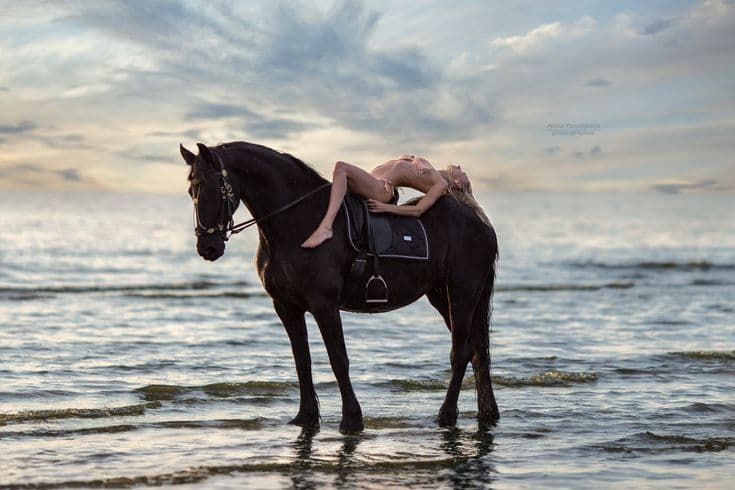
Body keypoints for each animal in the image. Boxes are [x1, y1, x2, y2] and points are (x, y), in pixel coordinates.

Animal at [180, 141, 499, 433]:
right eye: (191, 190)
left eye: (211, 187)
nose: (207, 247)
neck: (297, 222)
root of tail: (478, 217)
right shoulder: (286, 307)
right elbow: (302, 361)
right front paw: (306, 417)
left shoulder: (324, 304)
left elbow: (338, 359)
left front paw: (351, 420)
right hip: (441, 295)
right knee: (475, 351)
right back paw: (486, 413)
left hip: (462, 292)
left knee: (461, 352)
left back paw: (446, 416)